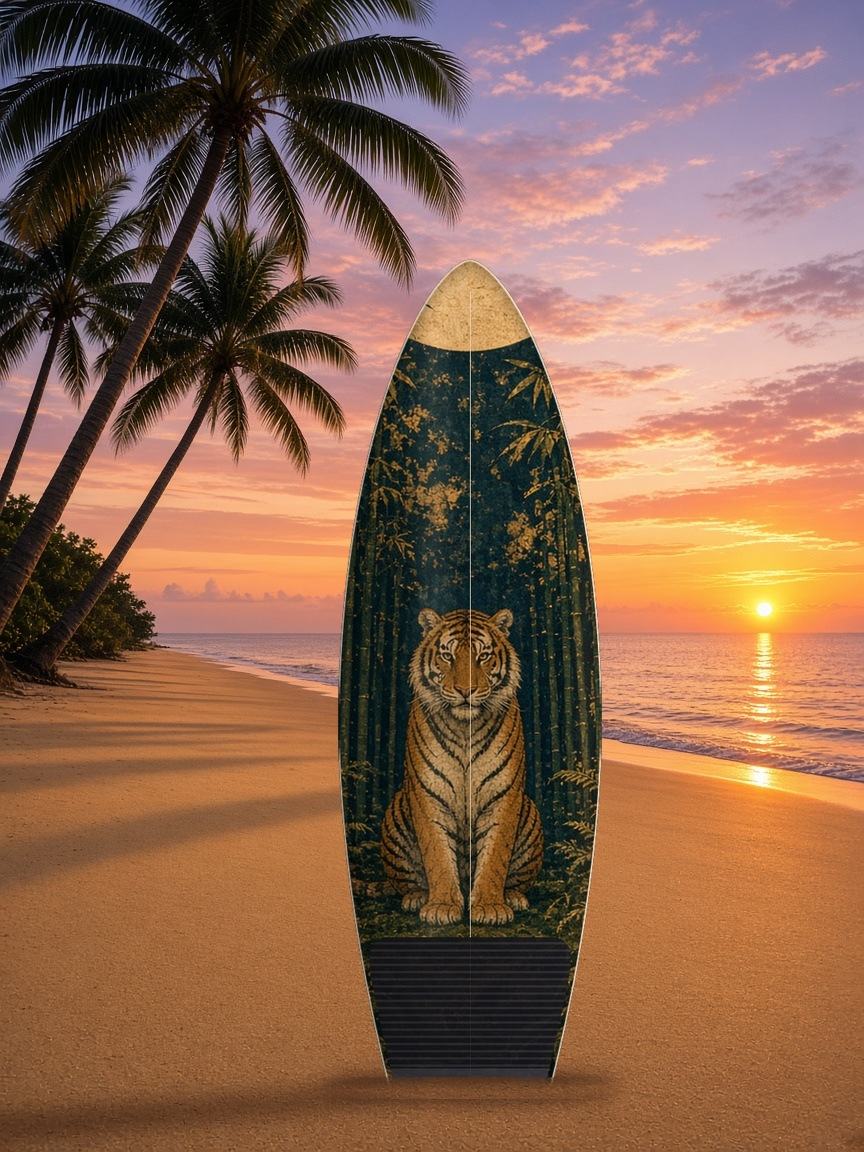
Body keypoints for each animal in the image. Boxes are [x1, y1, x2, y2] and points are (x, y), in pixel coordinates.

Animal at [380, 607, 543, 926]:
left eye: (483, 656)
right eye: (447, 656)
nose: (465, 691)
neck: (464, 727)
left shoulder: (504, 796)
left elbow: (495, 856)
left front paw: (490, 907)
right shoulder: (427, 795)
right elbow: (437, 855)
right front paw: (441, 906)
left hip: (530, 813)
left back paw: (514, 897)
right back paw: (416, 896)